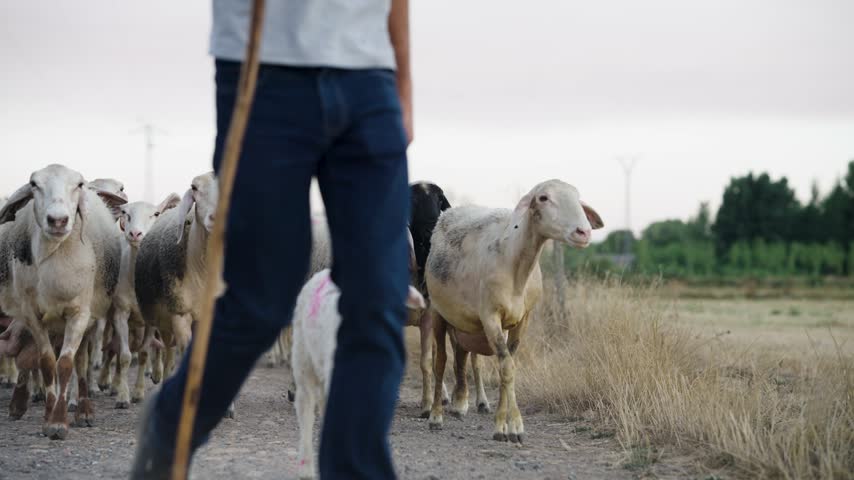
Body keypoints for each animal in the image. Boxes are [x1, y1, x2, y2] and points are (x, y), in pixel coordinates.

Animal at [0, 164, 127, 439]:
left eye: (78, 185)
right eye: (34, 184)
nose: (57, 220)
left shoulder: (79, 314)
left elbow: (67, 364)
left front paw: (59, 423)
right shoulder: (32, 316)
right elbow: (47, 363)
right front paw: (49, 417)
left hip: (89, 319)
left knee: (81, 362)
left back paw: (84, 411)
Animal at [425, 179, 603, 443]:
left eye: (577, 197)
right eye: (543, 198)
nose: (584, 232)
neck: (515, 264)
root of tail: (448, 213)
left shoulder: (523, 319)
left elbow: (507, 367)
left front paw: (503, 426)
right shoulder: (490, 316)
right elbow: (507, 367)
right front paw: (515, 427)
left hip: (462, 321)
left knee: (461, 357)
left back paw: (460, 403)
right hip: (438, 312)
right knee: (440, 362)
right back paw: (436, 416)